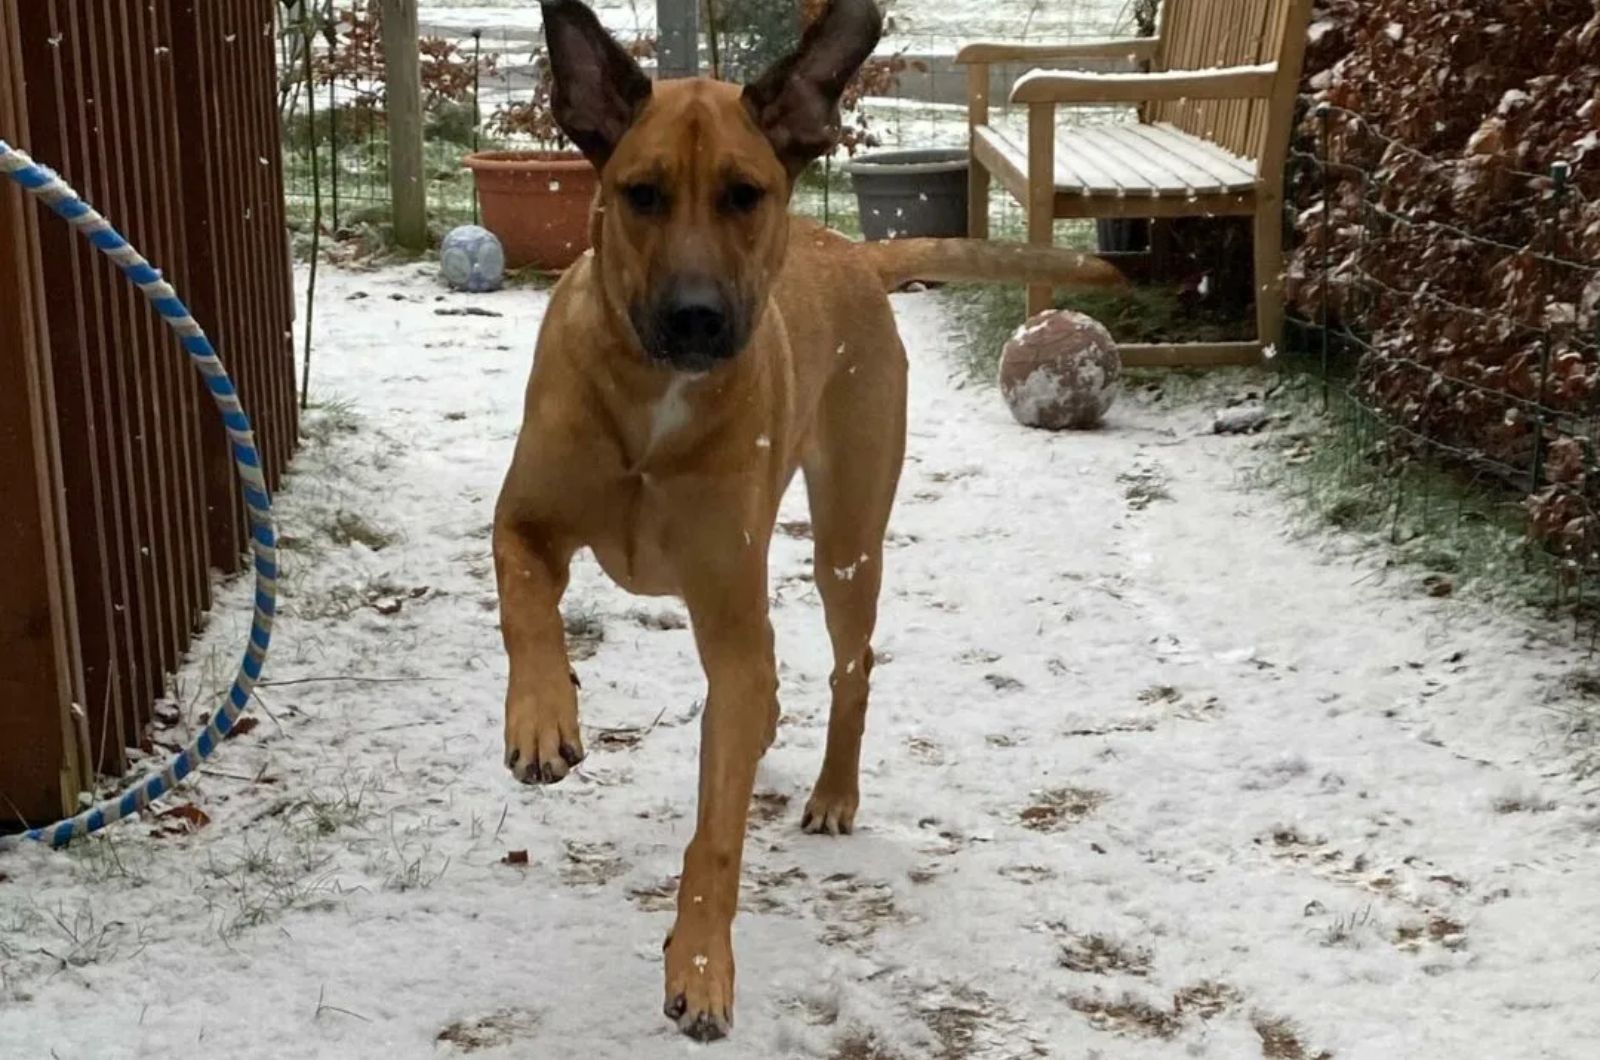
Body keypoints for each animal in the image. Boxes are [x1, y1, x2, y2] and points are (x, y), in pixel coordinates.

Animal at [492, 0, 1120, 1043]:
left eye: (746, 195)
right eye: (640, 194)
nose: (697, 319)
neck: (654, 399)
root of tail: (854, 250)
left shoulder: (729, 610)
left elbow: (717, 832)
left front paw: (702, 966)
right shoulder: (523, 519)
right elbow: (525, 608)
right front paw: (544, 719)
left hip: (846, 538)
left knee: (847, 665)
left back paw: (833, 791)